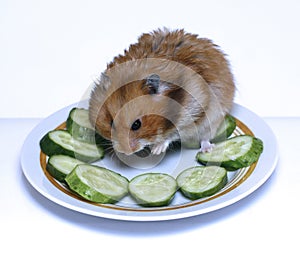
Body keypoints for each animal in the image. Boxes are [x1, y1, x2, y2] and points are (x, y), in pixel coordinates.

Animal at [88, 28, 236, 156]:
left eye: (137, 125)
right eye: (111, 122)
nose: (126, 152)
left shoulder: (192, 114)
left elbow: (173, 134)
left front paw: (156, 150)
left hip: (213, 118)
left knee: (205, 137)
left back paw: (207, 150)